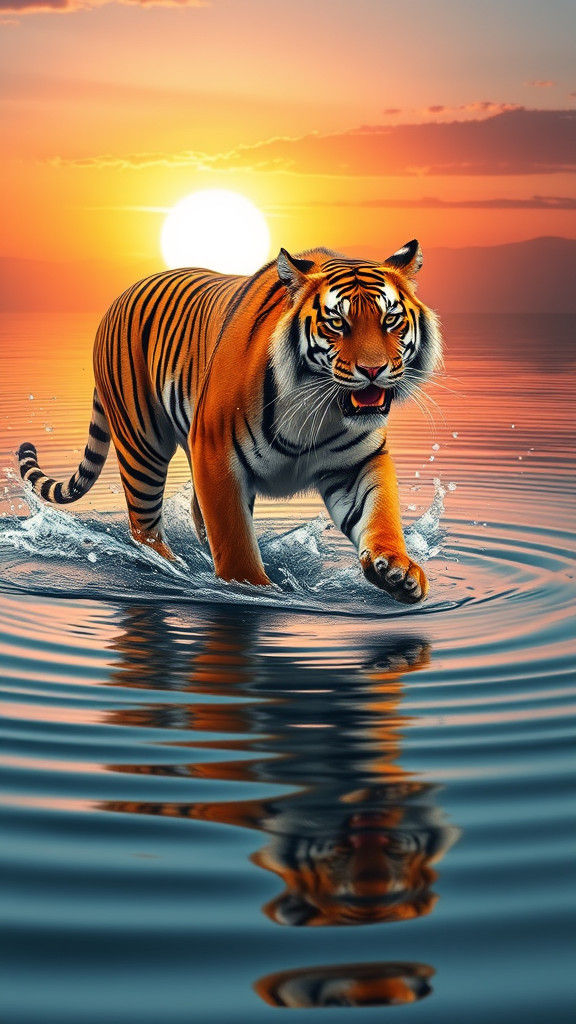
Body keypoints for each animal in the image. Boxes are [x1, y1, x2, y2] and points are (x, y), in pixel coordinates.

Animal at [17, 238, 442, 603]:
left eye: (390, 320)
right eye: (337, 323)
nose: (373, 370)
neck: (318, 407)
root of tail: (121, 295)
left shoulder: (359, 461)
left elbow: (380, 512)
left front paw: (398, 572)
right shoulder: (217, 456)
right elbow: (234, 538)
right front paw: (254, 590)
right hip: (143, 446)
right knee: (143, 526)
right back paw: (169, 568)